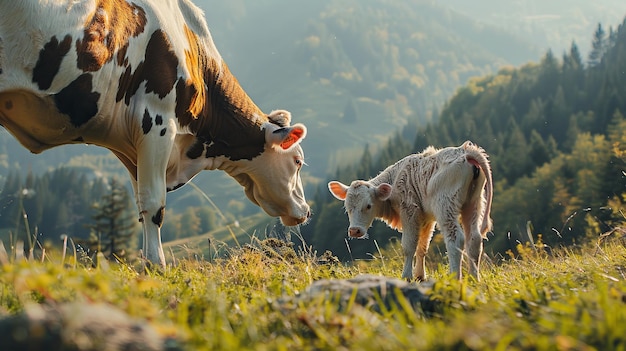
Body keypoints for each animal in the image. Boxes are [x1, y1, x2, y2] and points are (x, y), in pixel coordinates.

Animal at [0, 0, 310, 270]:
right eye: (297, 161)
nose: (306, 210)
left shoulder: (132, 146)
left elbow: (141, 203)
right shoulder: (156, 123)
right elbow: (154, 204)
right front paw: (155, 265)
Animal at [326, 142, 492, 282]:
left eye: (368, 206)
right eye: (347, 208)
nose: (354, 231)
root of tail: (466, 151)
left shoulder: (410, 211)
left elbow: (409, 246)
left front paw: (407, 276)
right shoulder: (426, 218)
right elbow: (422, 247)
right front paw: (420, 276)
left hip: (445, 204)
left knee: (456, 238)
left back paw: (455, 278)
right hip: (474, 202)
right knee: (474, 239)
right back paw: (474, 278)